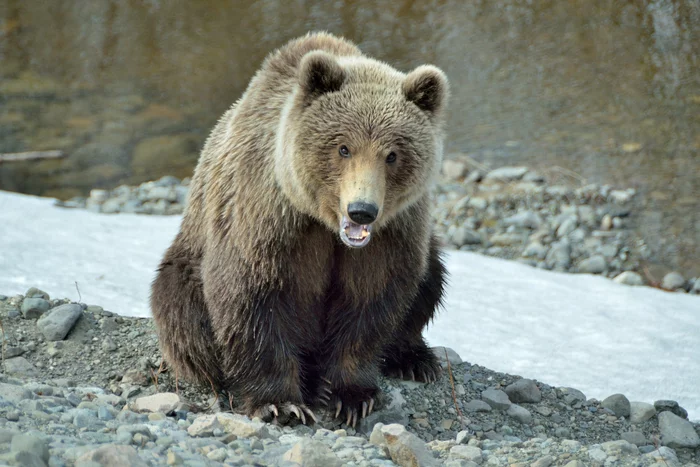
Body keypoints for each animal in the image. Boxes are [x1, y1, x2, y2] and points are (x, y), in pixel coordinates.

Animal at [151, 31, 452, 428]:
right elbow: (253, 300)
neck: (324, 223)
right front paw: (282, 403)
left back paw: (415, 360)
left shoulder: (389, 237)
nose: (362, 211)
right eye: (343, 147)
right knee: (184, 316)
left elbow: (370, 303)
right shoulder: (267, 220)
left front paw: (351, 395)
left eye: (392, 154)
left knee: (431, 279)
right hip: (186, 265)